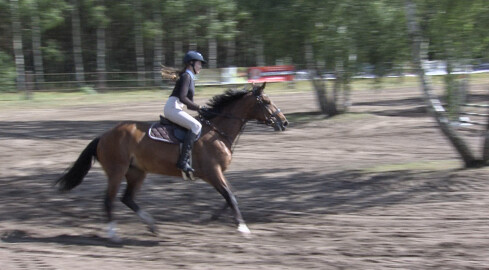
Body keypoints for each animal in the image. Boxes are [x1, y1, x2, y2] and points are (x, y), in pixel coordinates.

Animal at [55, 82, 288, 240]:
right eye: (267, 102)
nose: (284, 122)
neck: (218, 131)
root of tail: (103, 136)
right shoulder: (212, 172)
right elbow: (230, 196)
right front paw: (242, 227)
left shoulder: (217, 173)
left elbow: (231, 196)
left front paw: (212, 218)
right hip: (116, 171)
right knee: (109, 200)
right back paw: (113, 234)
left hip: (136, 172)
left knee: (127, 198)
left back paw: (152, 225)